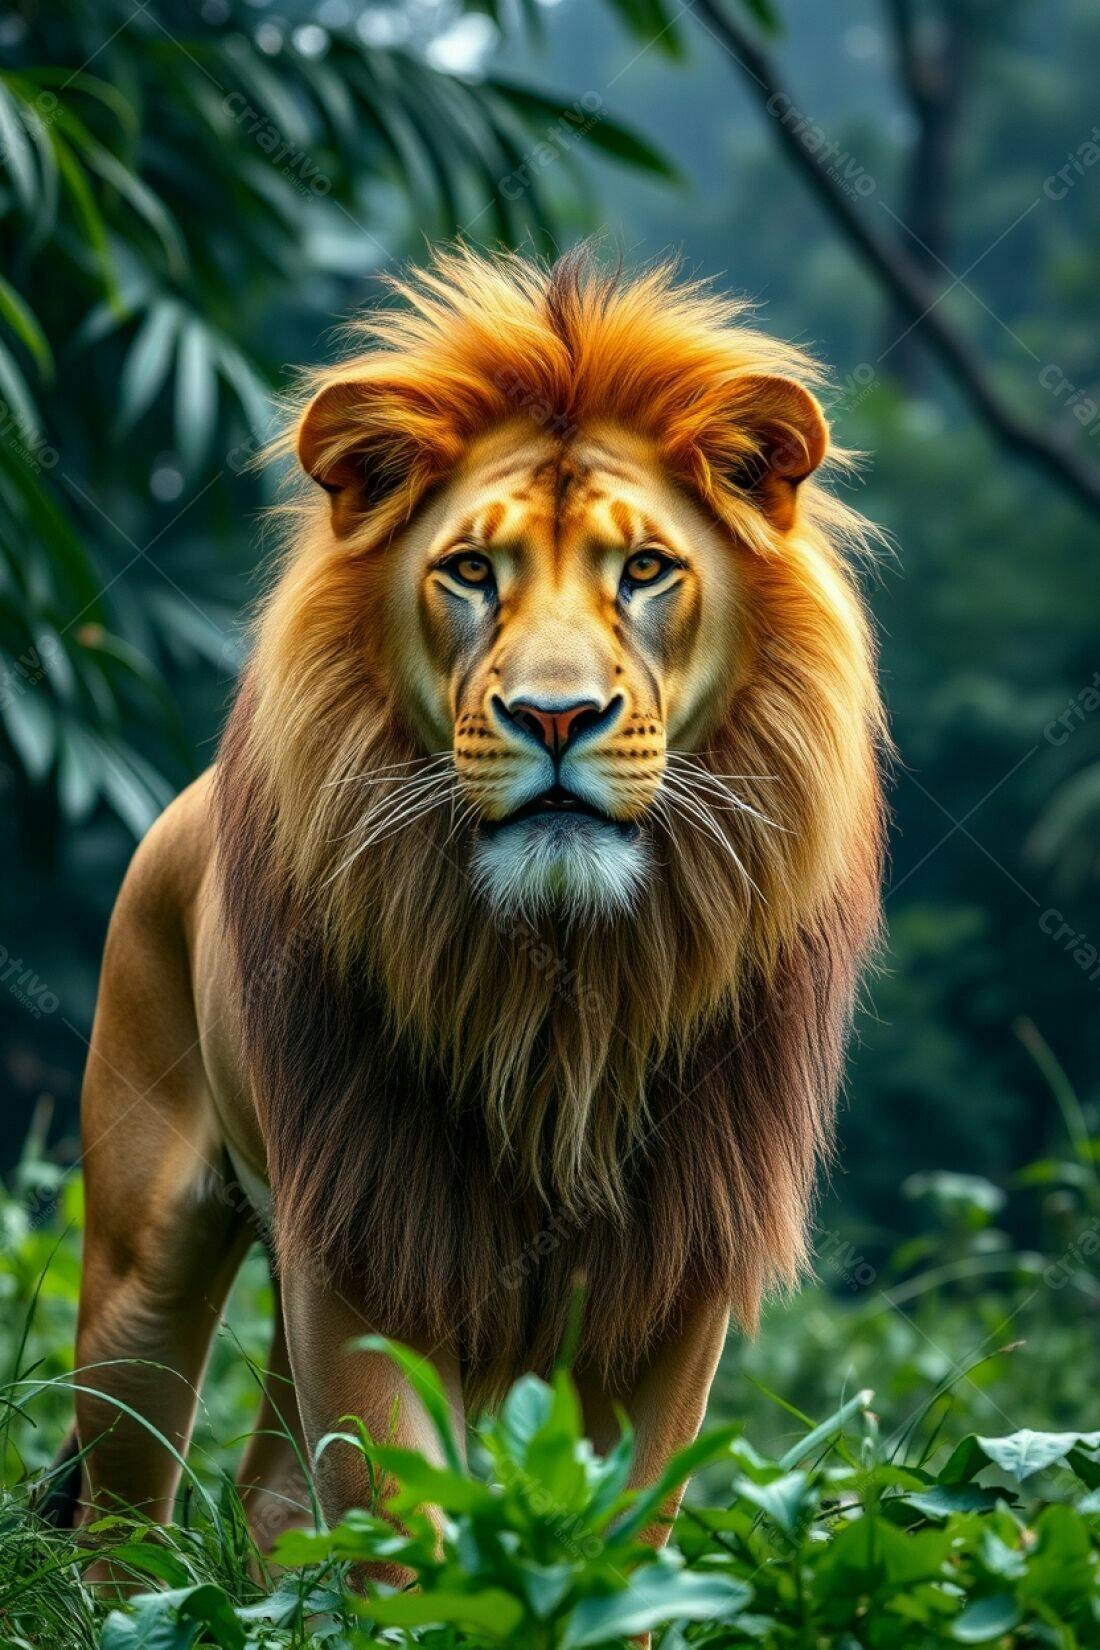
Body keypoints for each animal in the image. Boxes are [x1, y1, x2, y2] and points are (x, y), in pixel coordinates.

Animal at [62, 246, 885, 1565]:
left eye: (643, 569)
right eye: (468, 571)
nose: (555, 717)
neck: (561, 978)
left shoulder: (674, 1266)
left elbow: (622, 1537)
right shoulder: (367, 1237)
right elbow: (403, 1526)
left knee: (270, 1497)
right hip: (140, 1271)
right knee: (121, 1521)